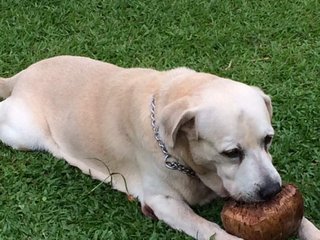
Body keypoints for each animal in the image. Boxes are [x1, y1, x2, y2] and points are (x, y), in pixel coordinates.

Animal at [0, 55, 318, 239]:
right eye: (231, 153)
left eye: (268, 139)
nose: (272, 191)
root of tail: (22, 74)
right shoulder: (164, 202)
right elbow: (210, 229)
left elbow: (303, 220)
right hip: (23, 134)